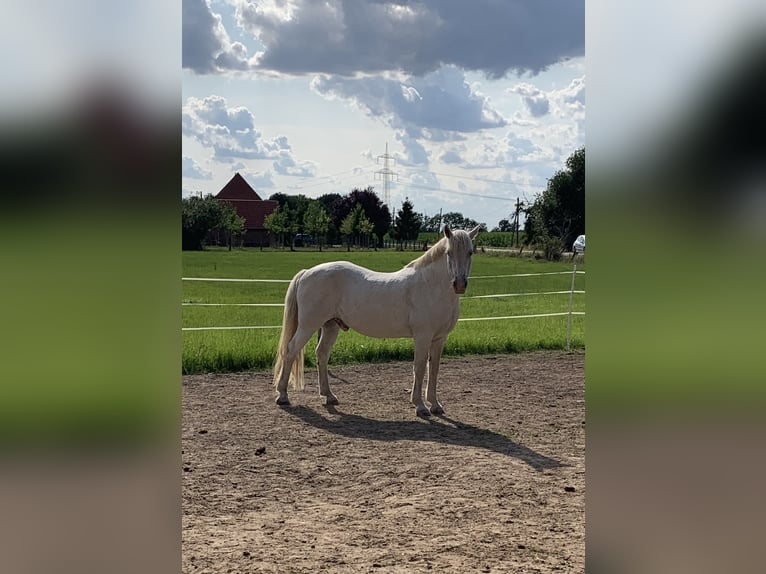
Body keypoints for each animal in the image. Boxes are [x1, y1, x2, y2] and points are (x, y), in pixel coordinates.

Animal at [273, 225, 480, 417]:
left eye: (470, 252)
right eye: (449, 252)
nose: (459, 284)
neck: (430, 286)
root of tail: (307, 272)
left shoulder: (439, 338)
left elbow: (434, 369)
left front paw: (435, 405)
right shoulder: (422, 336)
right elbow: (420, 367)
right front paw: (420, 406)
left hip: (330, 326)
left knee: (322, 354)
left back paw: (329, 396)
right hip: (309, 326)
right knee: (291, 350)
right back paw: (282, 395)